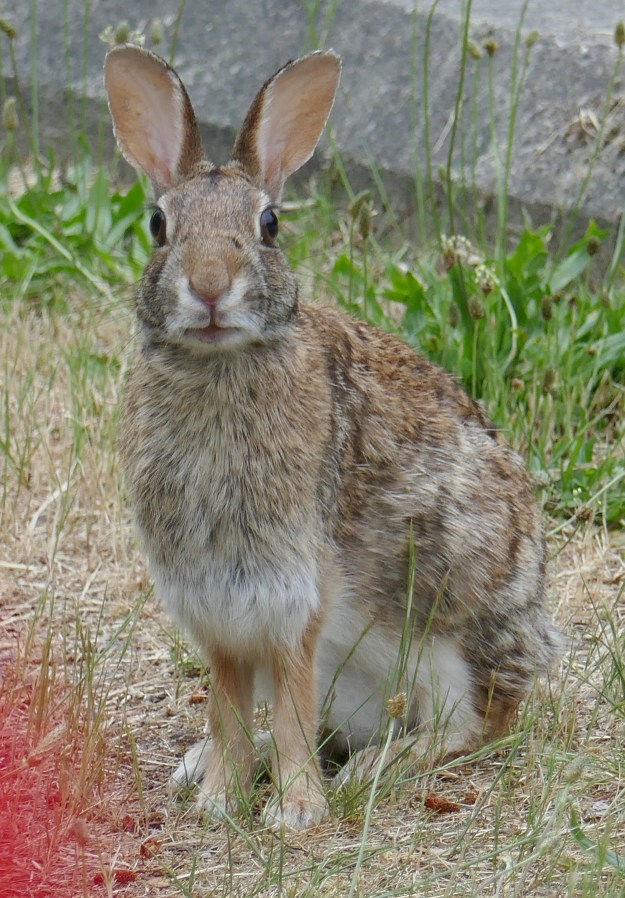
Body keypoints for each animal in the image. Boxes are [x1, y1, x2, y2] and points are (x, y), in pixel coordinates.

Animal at [104, 43, 560, 831]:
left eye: (270, 223)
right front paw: (221, 797)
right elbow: (230, 700)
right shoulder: (217, 606)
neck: (220, 365)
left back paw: (371, 772)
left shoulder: (294, 592)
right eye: (159, 225)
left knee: (471, 725)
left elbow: (290, 692)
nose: (210, 286)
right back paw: (210, 766)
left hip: (443, 623)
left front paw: (294, 813)